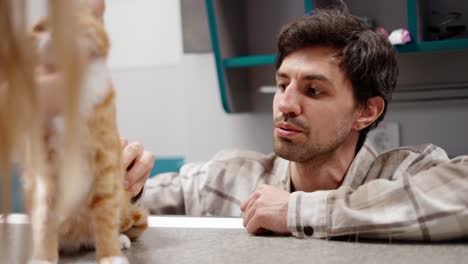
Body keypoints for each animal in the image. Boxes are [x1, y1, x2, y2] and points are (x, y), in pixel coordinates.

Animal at [23, 4, 148, 264]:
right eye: (40, 27)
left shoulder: (106, 165)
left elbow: (105, 215)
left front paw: (110, 255)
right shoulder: (45, 173)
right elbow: (46, 217)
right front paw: (43, 257)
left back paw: (119, 239)